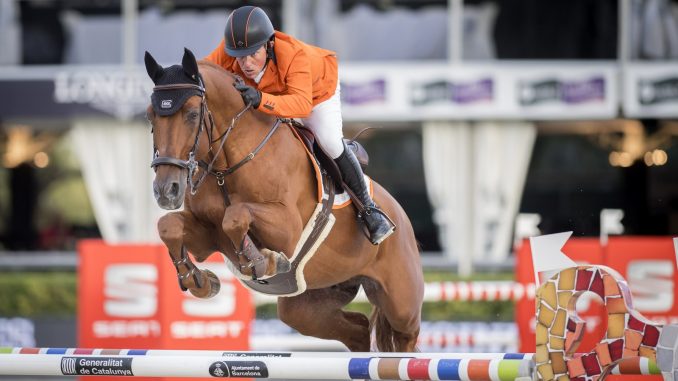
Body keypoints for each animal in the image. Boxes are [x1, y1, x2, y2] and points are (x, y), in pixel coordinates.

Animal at [144, 48, 424, 354]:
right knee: (357, 330)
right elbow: (168, 225)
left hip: (401, 303)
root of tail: (401, 216)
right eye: (150, 117)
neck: (225, 167)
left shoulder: (287, 228)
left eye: (193, 114)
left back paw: (378, 225)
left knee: (405, 338)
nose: (165, 190)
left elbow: (236, 216)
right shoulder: (209, 237)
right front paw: (199, 280)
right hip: (308, 304)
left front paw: (263, 262)